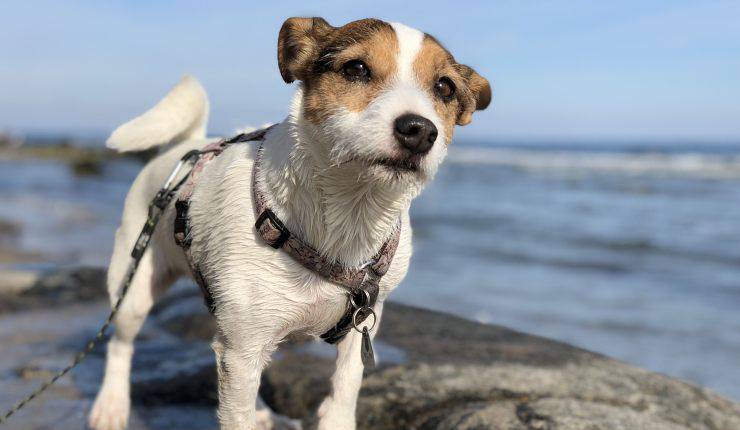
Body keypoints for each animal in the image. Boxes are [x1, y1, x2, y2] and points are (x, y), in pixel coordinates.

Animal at [88, 16, 492, 430]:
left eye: (444, 87)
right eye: (356, 68)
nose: (419, 130)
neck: (348, 217)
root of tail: (190, 144)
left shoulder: (360, 327)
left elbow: (345, 390)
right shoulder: (243, 349)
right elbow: (237, 415)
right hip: (134, 287)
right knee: (120, 344)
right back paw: (111, 405)